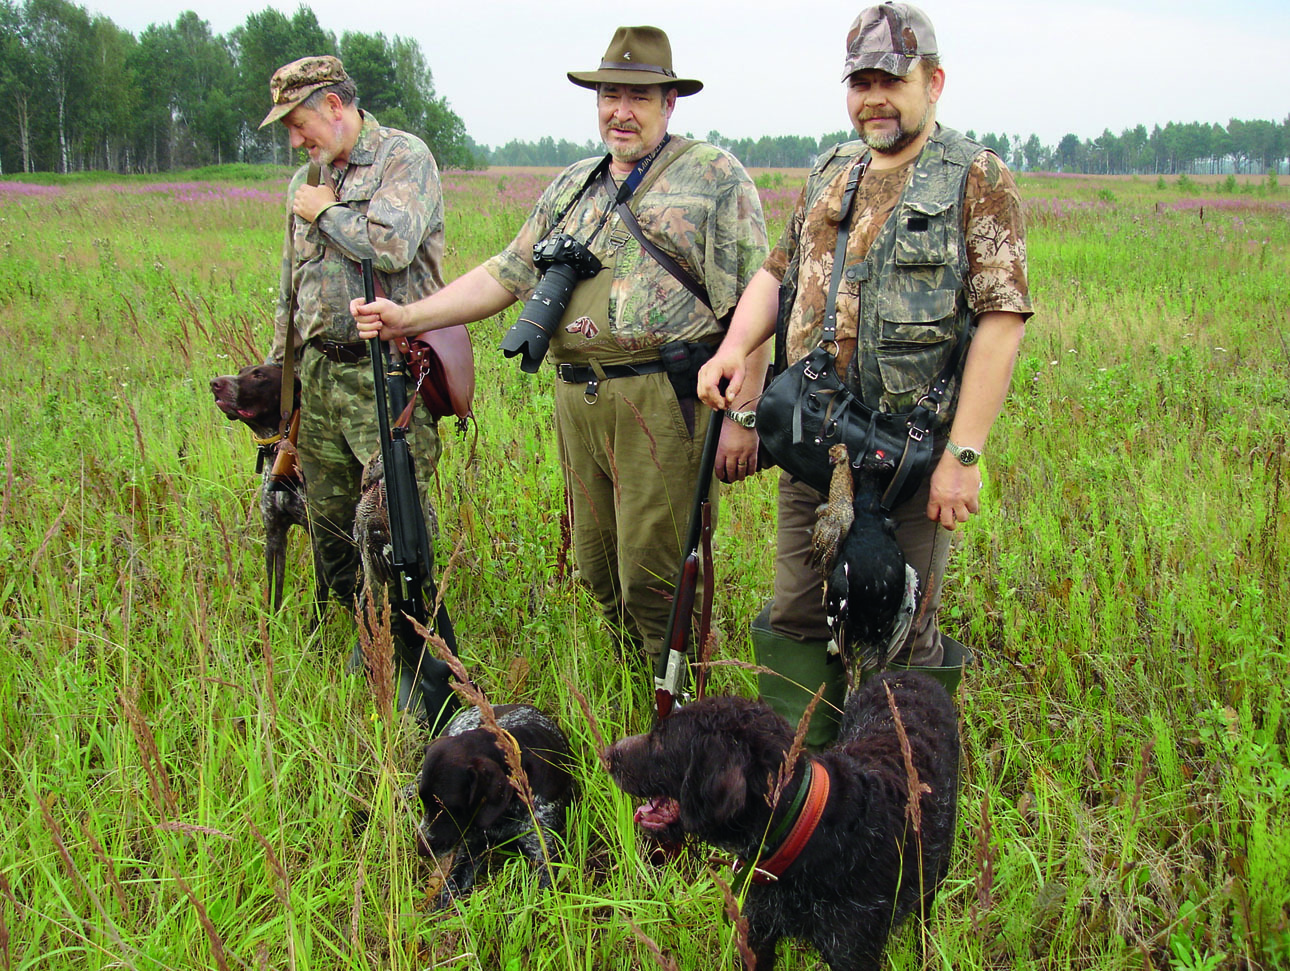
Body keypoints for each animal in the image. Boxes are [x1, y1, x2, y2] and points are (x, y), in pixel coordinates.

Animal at [208, 363, 325, 613]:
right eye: (241, 372)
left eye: (259, 376)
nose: (214, 383)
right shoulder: (274, 536)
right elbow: (273, 596)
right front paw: (272, 624)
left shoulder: (322, 541)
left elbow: (320, 601)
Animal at [417, 701, 575, 907]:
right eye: (423, 801)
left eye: (448, 807)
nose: (421, 850)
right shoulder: (469, 851)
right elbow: (448, 893)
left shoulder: (544, 855)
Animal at [603, 670, 959, 969]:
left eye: (661, 740)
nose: (607, 754)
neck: (801, 830)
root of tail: (907, 675)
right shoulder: (758, 935)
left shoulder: (853, 953)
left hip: (933, 876)